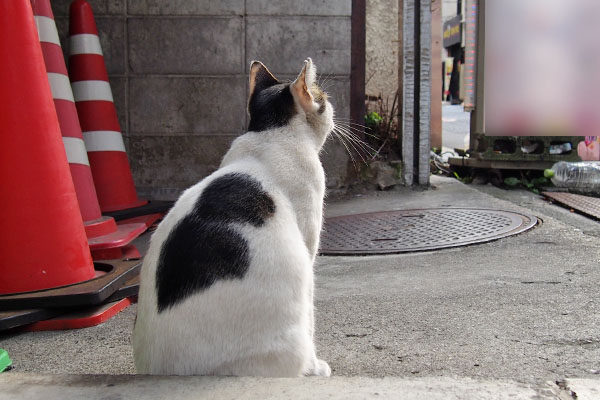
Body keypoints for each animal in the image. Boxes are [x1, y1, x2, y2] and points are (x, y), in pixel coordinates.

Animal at [132, 57, 336, 376]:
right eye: (322, 98)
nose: (332, 105)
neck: (270, 135)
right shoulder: (308, 245)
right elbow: (312, 318)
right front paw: (316, 368)